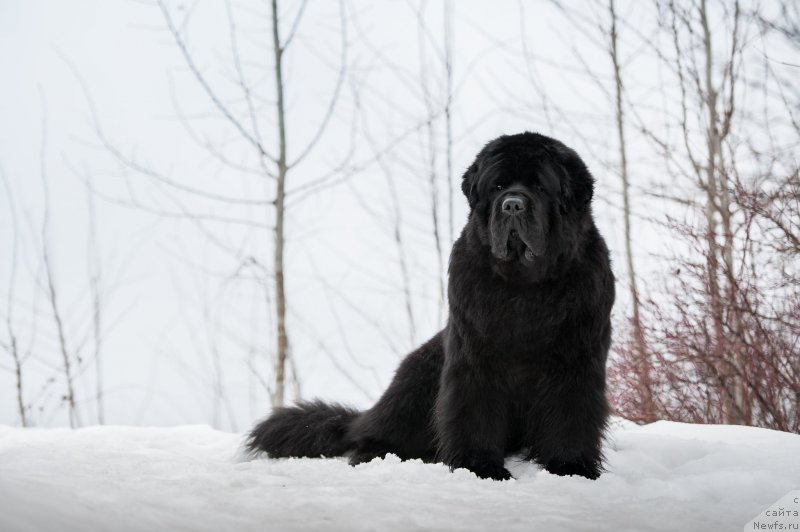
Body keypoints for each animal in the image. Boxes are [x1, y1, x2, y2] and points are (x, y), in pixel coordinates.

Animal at [247, 132, 616, 482]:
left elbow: (571, 416)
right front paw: (480, 467)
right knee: (365, 436)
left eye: (539, 186)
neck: (525, 288)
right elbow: (475, 413)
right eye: (498, 186)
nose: (512, 205)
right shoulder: (474, 360)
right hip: (416, 380)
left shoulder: (576, 360)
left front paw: (571, 467)